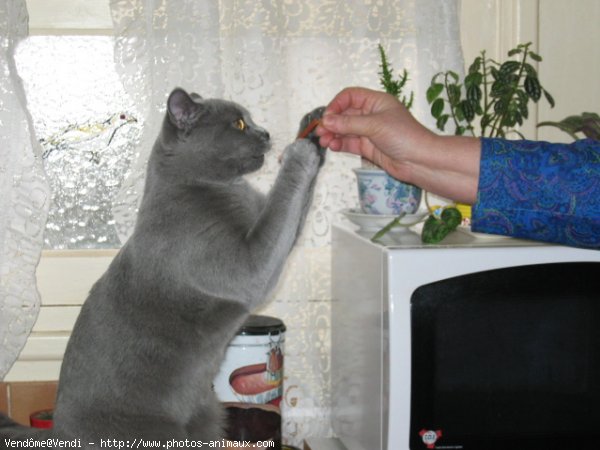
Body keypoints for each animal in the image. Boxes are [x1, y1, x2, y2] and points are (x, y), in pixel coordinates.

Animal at [0, 88, 326, 446]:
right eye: (239, 124)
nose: (265, 132)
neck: (224, 189)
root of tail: (59, 432)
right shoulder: (248, 266)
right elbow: (281, 204)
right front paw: (301, 150)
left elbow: (291, 212)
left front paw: (314, 126)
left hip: (209, 412)